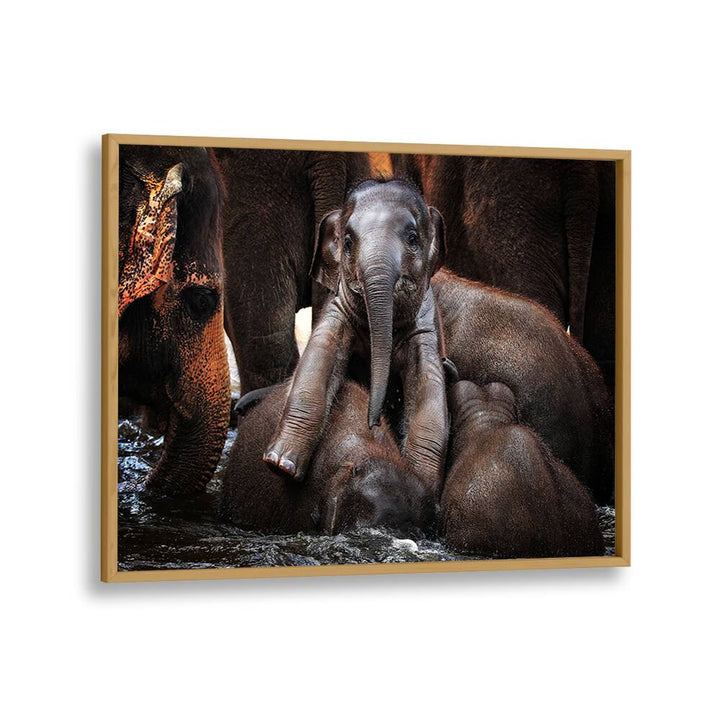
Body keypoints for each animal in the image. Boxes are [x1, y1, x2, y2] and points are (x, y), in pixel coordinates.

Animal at [262, 179, 449, 494]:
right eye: (348, 241)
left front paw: (419, 483)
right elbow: (319, 358)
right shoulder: (337, 309)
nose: (373, 423)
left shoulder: (426, 327)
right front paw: (280, 465)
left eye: (413, 238)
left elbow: (429, 387)